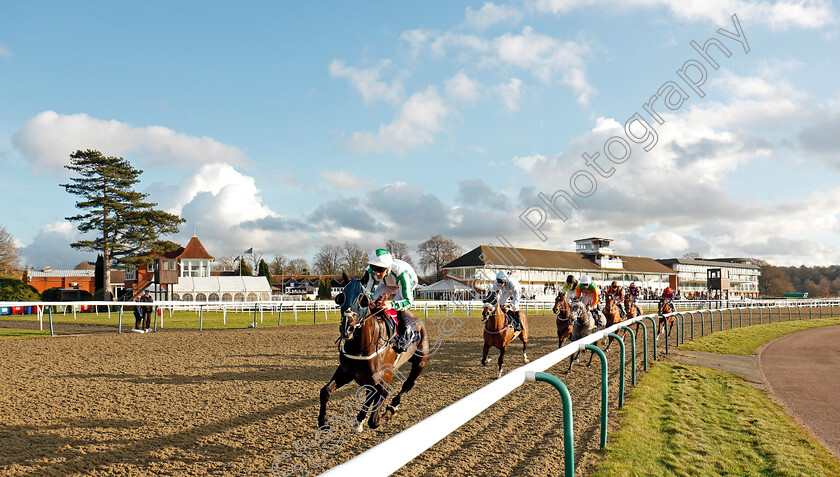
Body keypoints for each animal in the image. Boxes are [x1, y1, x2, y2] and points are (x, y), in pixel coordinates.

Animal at [318, 276, 430, 432]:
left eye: (363, 300)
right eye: (341, 297)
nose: (347, 328)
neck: (360, 348)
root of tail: (418, 321)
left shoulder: (384, 381)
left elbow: (374, 420)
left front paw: (387, 413)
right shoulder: (346, 372)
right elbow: (325, 391)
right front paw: (323, 421)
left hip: (420, 362)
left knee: (408, 384)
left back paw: (393, 405)